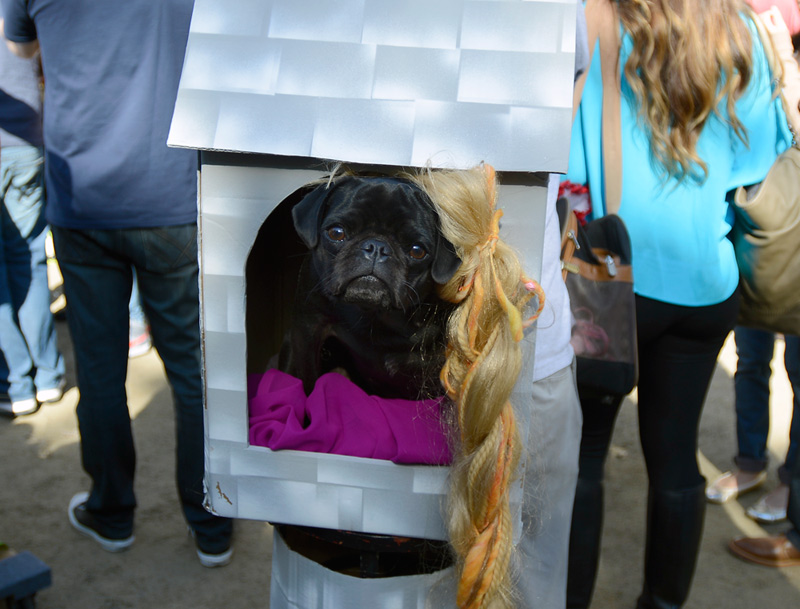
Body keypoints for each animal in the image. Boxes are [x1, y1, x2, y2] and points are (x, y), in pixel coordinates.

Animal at [276, 176, 460, 400]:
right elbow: (308, 381)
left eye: (417, 250)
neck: (375, 315)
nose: (376, 247)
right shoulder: (308, 330)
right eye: (336, 233)